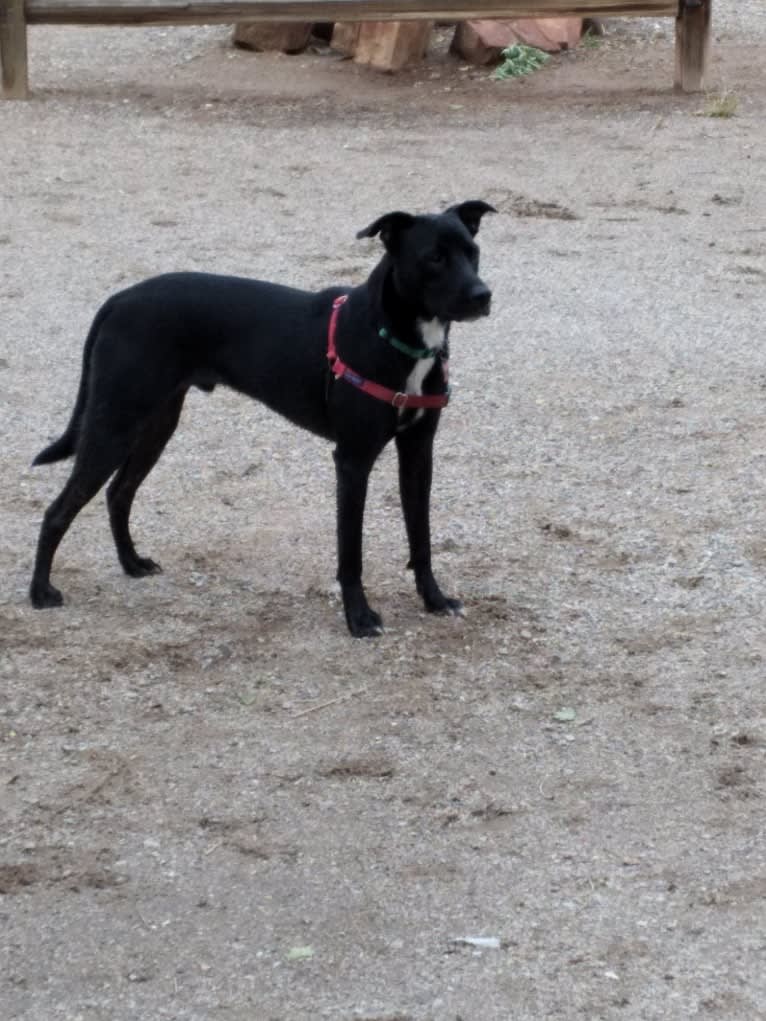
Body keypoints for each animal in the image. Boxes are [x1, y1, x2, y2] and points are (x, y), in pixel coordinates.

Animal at [28, 199, 498, 633]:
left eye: (473, 251)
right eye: (434, 257)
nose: (483, 296)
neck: (394, 334)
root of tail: (119, 300)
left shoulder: (418, 454)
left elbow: (422, 537)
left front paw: (435, 600)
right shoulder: (352, 461)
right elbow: (351, 551)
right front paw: (359, 618)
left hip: (154, 424)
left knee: (119, 493)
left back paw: (131, 563)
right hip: (114, 423)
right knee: (58, 510)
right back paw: (40, 592)